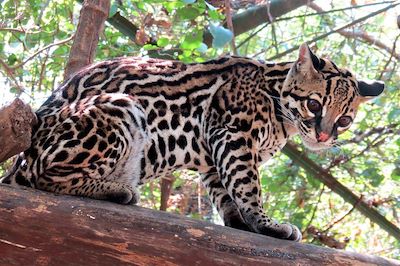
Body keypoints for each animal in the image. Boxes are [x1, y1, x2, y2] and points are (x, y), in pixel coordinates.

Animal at [2, 43, 384, 241]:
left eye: (344, 119)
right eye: (314, 105)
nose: (323, 136)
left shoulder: (216, 155)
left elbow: (226, 193)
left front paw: (241, 221)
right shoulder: (233, 133)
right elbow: (248, 186)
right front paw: (266, 223)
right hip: (120, 108)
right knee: (45, 178)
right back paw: (115, 190)